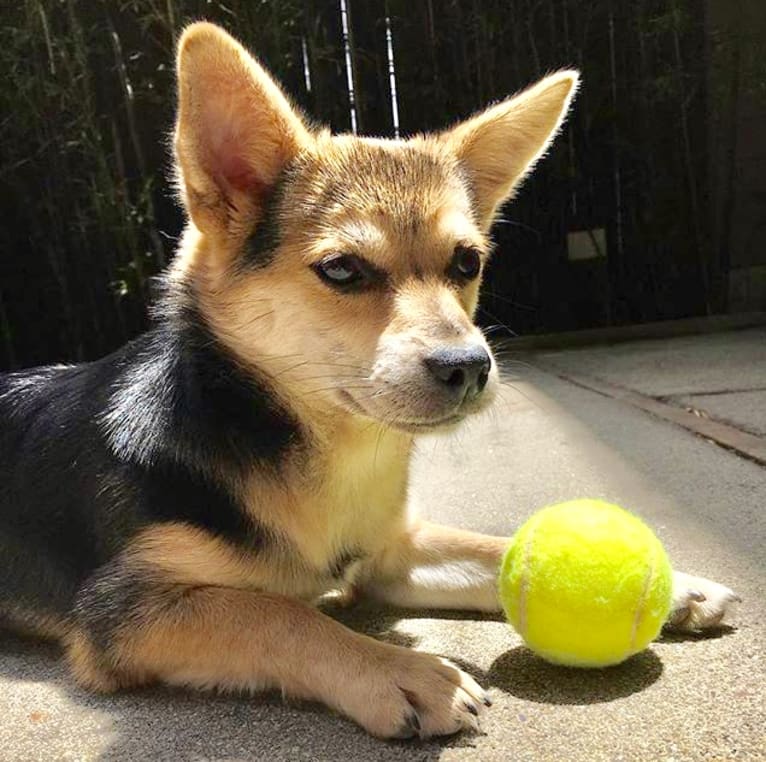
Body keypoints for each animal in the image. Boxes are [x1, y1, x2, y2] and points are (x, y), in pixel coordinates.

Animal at [1, 23, 744, 736]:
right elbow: (280, 615)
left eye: (468, 262)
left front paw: (679, 587)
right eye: (342, 270)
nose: (469, 366)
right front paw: (402, 671)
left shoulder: (392, 552)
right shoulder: (123, 613)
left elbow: (491, 545)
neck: (327, 450)